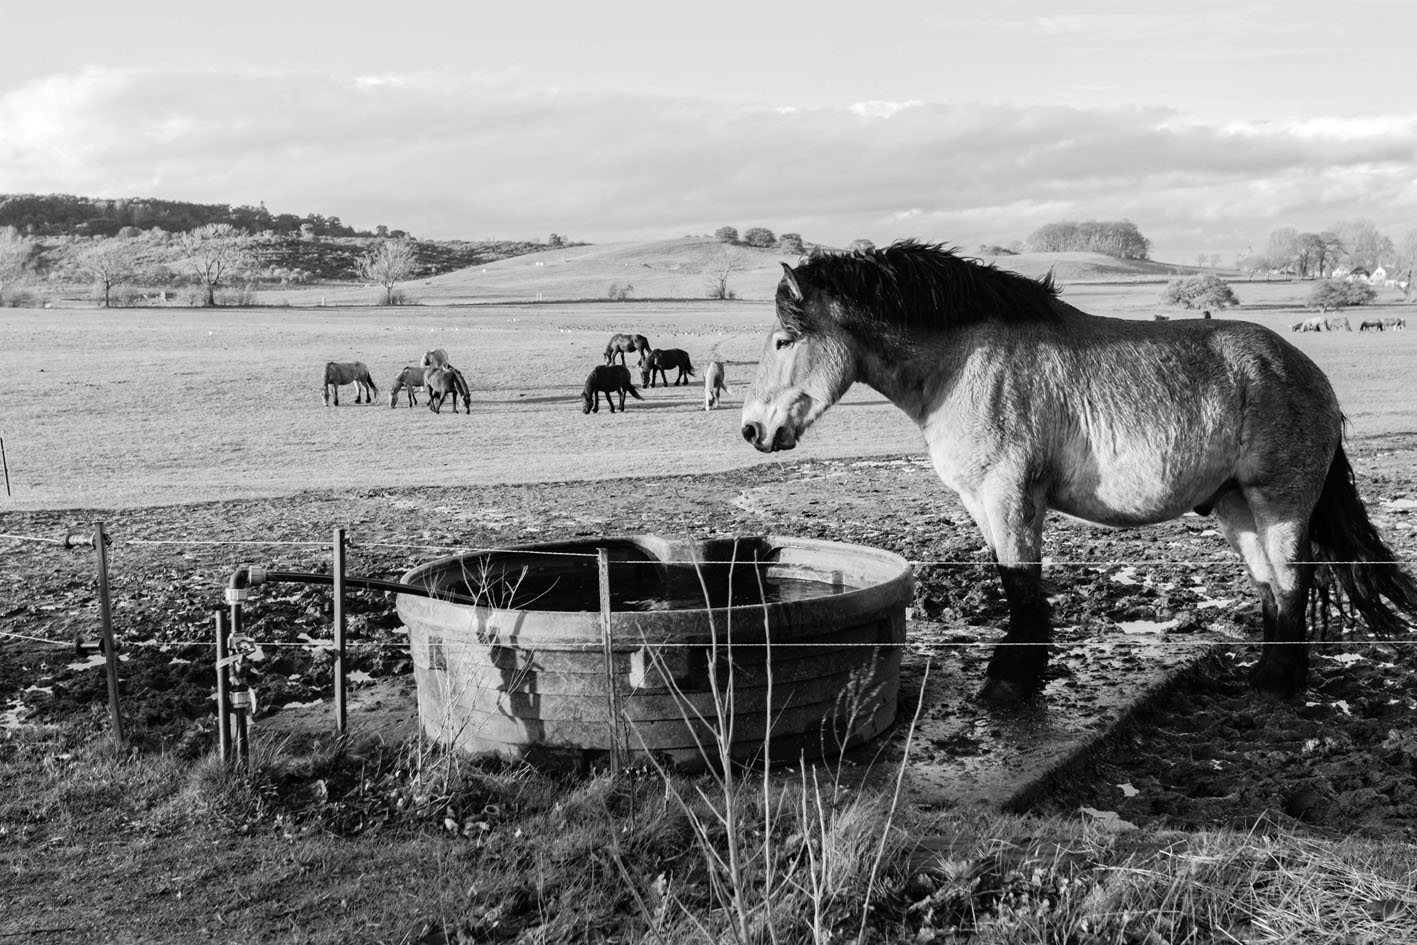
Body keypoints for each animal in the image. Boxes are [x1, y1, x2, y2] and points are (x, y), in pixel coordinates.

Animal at [742, 240, 1417, 705]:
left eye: (783, 341)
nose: (752, 430)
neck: (963, 361)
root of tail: (1309, 374)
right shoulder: (983, 502)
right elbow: (1013, 579)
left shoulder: (1009, 496)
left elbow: (1020, 584)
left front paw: (1011, 683)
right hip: (1235, 507)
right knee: (1271, 588)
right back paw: (1266, 677)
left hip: (1278, 503)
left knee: (1292, 583)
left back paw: (1280, 685)